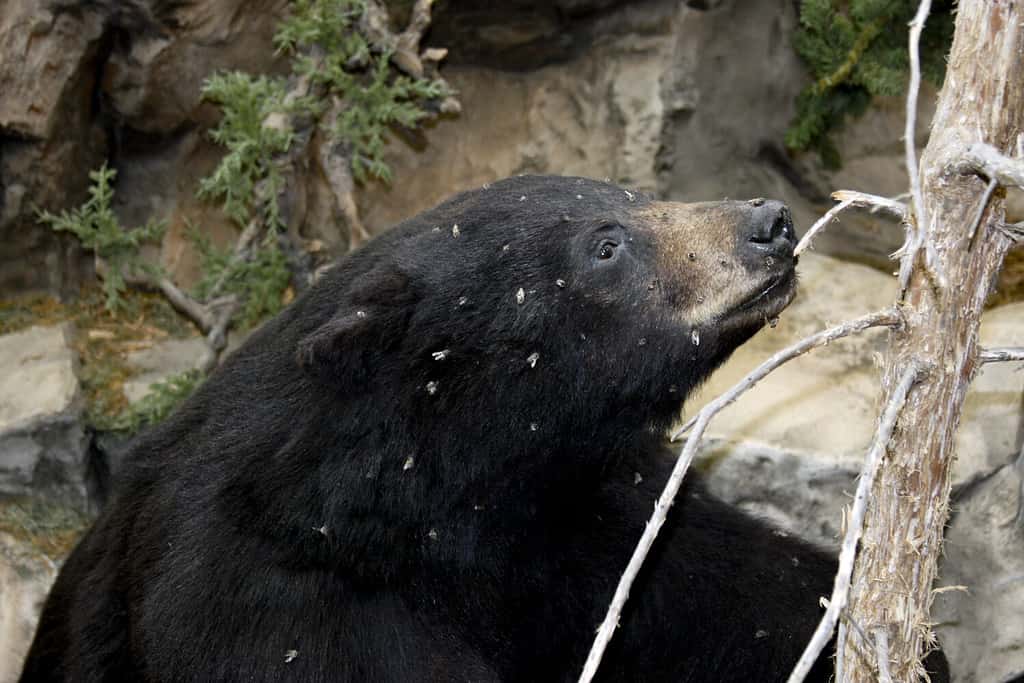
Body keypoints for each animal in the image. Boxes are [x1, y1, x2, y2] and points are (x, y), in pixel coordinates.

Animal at [19, 175, 946, 679]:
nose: (769, 223)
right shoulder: (270, 613)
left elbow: (734, 592)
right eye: (606, 245)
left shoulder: (579, 520)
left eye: (636, 195)